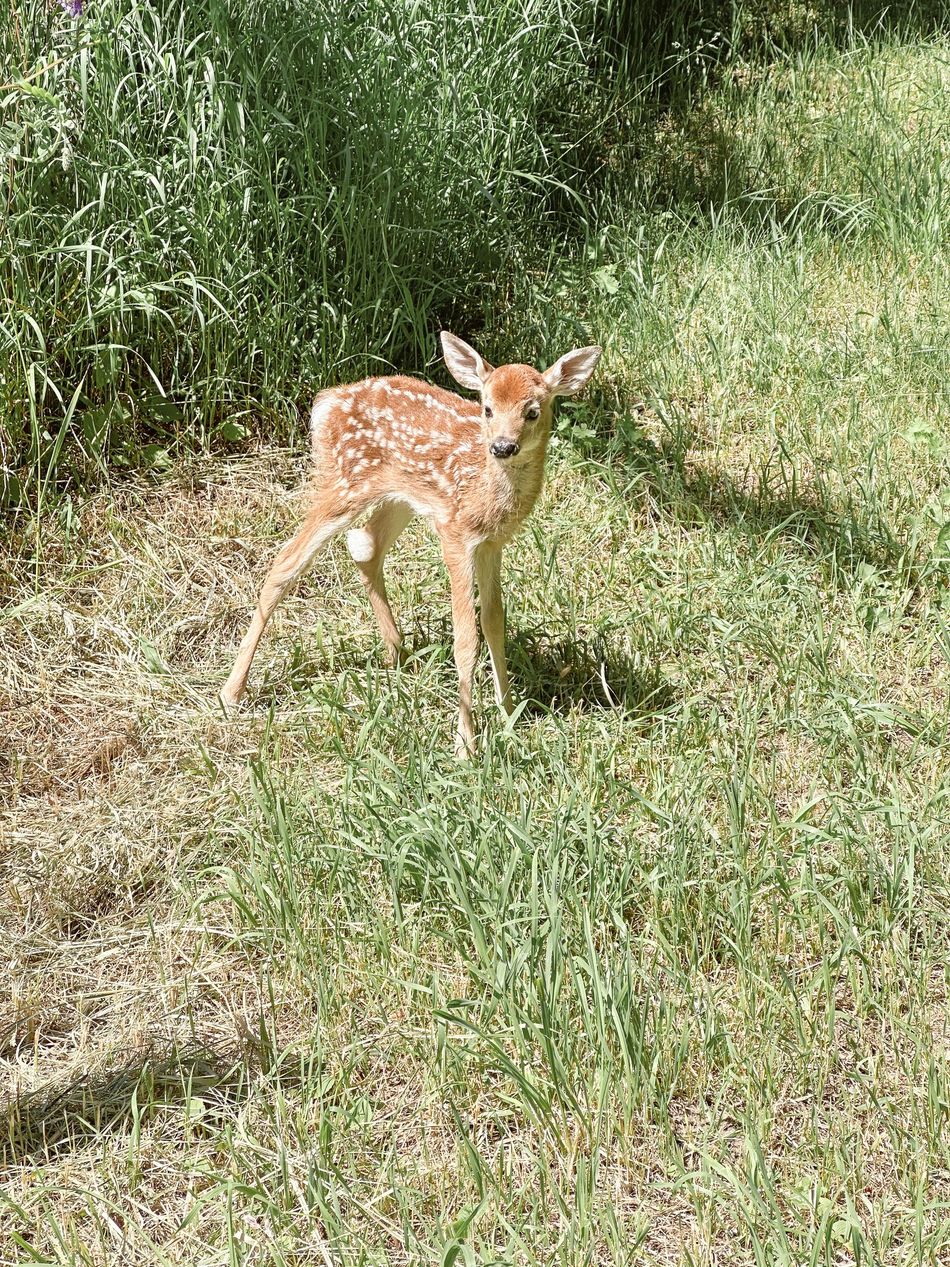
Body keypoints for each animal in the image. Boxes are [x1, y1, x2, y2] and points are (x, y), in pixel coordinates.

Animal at [219, 332, 602, 754]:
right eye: (486, 408)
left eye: (532, 411)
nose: (502, 446)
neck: (486, 491)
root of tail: (326, 401)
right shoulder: (454, 533)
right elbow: (466, 637)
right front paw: (466, 743)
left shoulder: (491, 544)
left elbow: (494, 621)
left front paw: (508, 712)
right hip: (344, 483)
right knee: (287, 562)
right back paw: (232, 693)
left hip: (397, 495)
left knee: (365, 546)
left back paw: (398, 655)